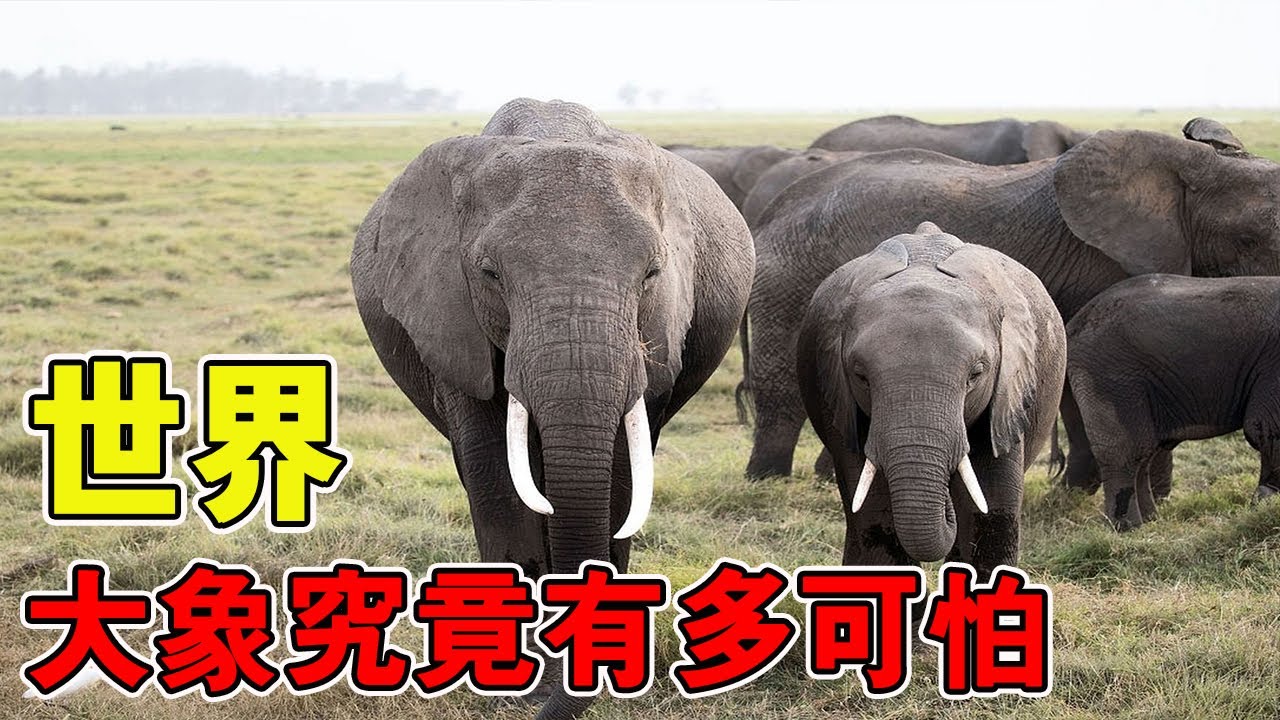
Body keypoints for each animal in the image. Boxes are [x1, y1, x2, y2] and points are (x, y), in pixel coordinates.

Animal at [350, 98, 754, 719]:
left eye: (652, 274)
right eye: (490, 274)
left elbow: (621, 469)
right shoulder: (448, 316)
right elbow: (492, 465)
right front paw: (517, 678)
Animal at [746, 122, 1280, 480]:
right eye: (1254, 237)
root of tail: (775, 208)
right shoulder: (1099, 267)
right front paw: (1080, 488)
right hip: (792, 282)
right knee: (783, 387)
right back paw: (768, 480)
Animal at [798, 223, 1065, 574]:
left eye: (976, 375)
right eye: (861, 377)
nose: (946, 508)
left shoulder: (1007, 399)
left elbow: (989, 506)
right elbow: (876, 516)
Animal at [1066, 275, 1280, 531]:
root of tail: (1074, 323)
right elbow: (1265, 428)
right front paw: (1265, 504)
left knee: (1145, 450)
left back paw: (1150, 521)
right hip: (1110, 376)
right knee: (1127, 450)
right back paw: (1128, 528)